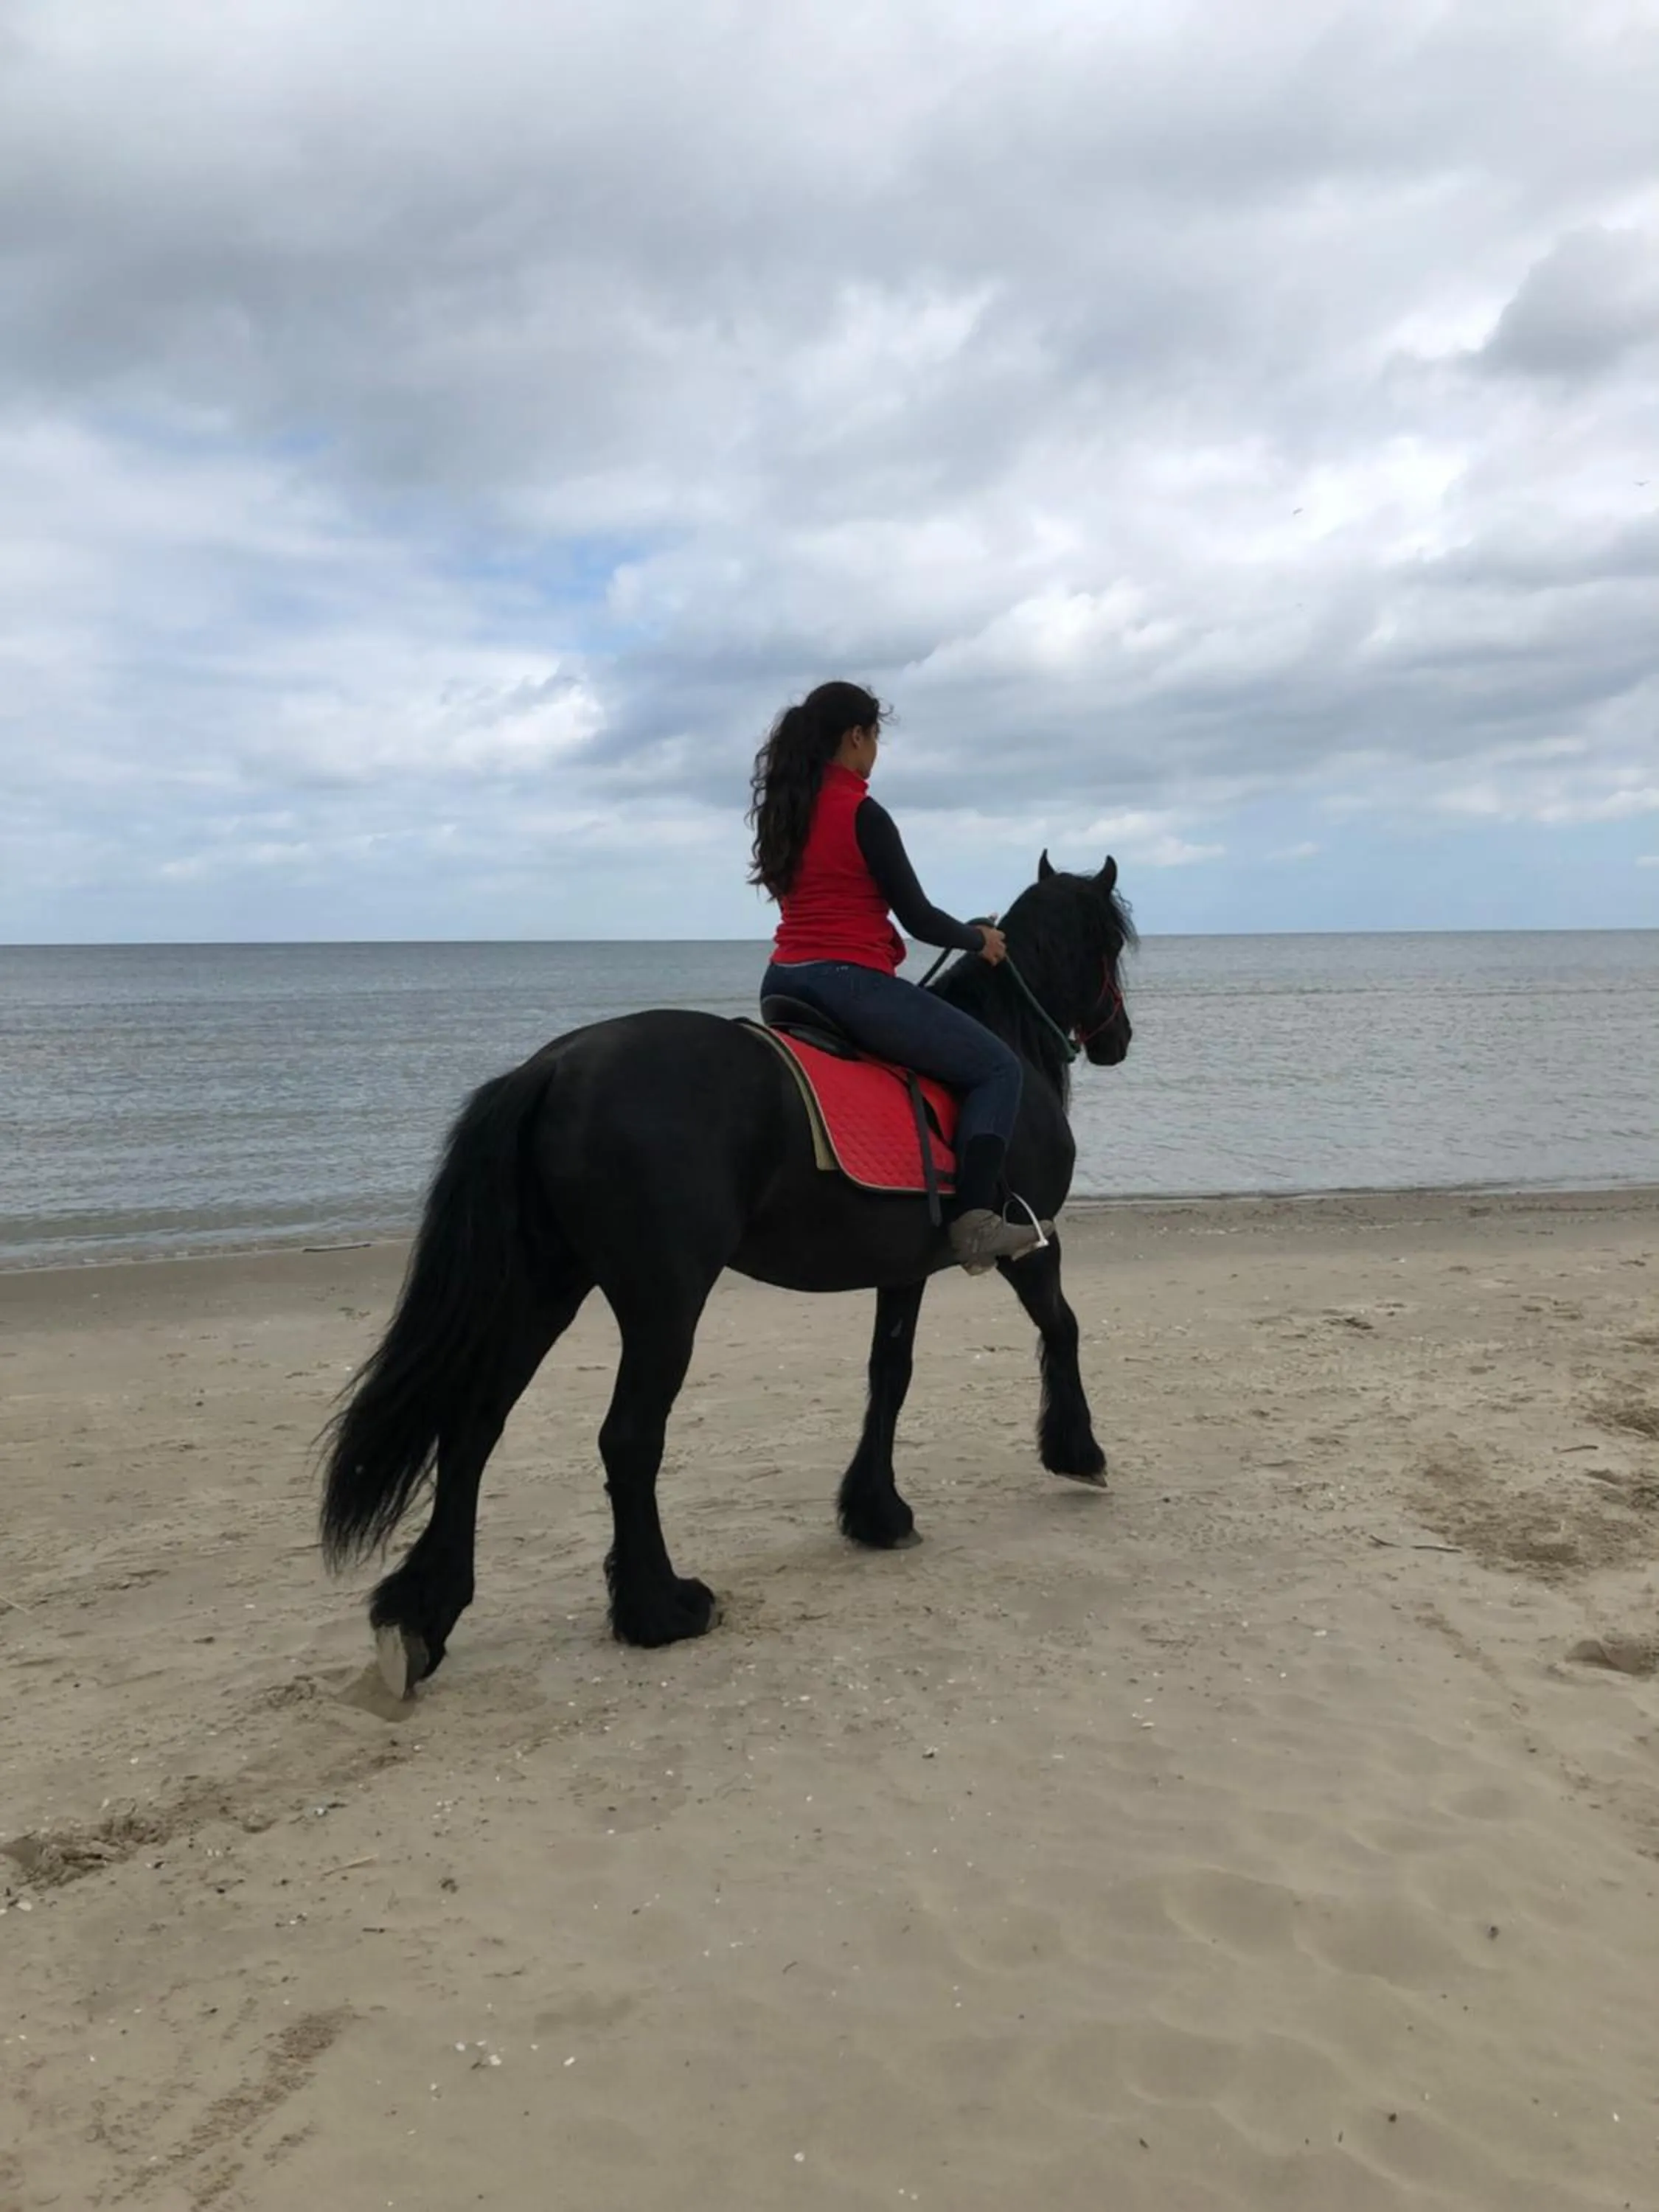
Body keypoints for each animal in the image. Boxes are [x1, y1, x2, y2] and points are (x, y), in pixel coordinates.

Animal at [319, 850, 1135, 1695]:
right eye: (1111, 943)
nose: (1119, 1037)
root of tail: (553, 1067)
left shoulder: (903, 1269)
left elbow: (890, 1375)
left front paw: (877, 1512)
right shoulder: (1030, 1244)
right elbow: (1063, 1328)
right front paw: (1079, 1452)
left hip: (546, 1287)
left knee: (475, 1424)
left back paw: (423, 1615)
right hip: (663, 1301)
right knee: (627, 1438)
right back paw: (659, 1606)